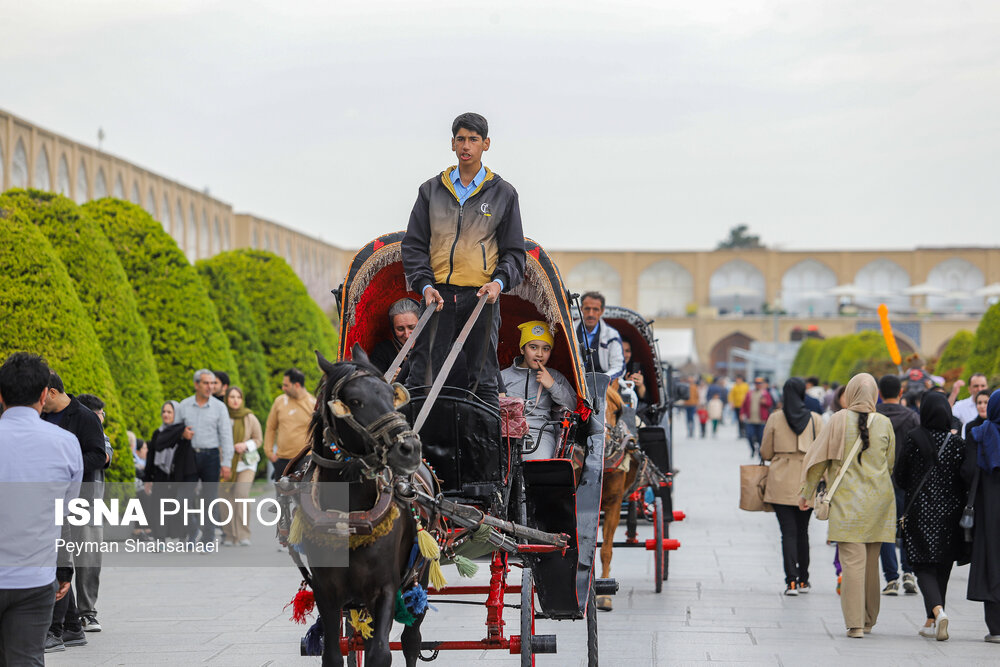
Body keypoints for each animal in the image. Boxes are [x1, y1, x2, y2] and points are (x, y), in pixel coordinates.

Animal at [304, 350, 430, 667]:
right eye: (355, 401)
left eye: (390, 394)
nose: (410, 448)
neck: (350, 516)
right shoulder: (326, 591)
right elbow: (333, 655)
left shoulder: (385, 588)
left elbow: (381, 653)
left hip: (420, 576)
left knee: (412, 640)